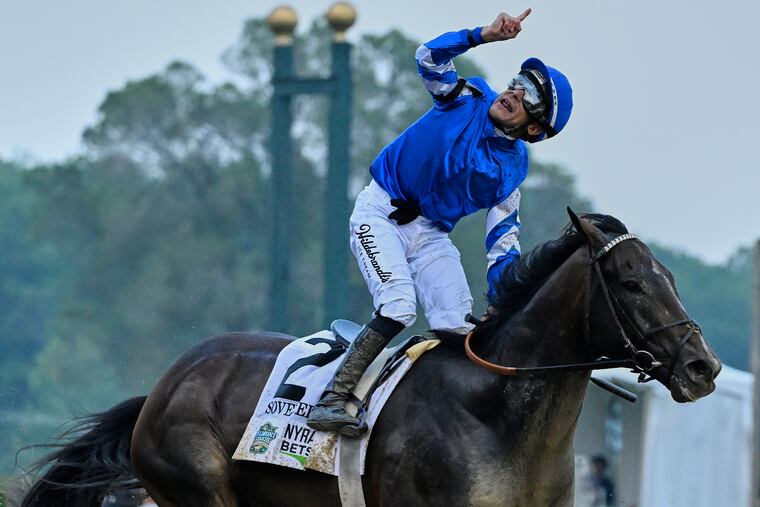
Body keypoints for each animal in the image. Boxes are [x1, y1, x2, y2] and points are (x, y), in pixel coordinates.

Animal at [20, 211, 721, 507]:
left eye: (671, 278)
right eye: (632, 283)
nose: (702, 367)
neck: (500, 419)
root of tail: (166, 385)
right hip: (197, 488)